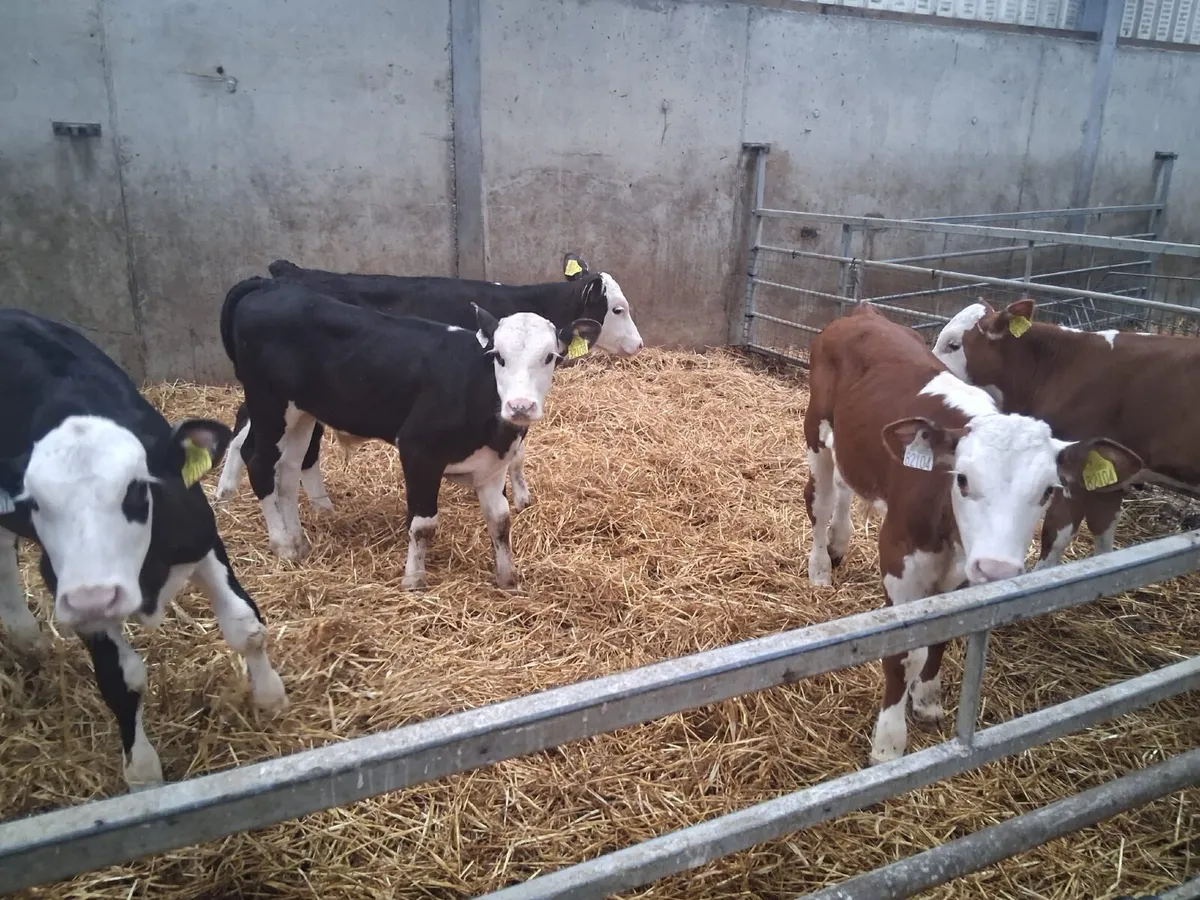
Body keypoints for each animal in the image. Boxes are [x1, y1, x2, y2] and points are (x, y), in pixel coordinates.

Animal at [0, 309, 287, 790]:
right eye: (35, 503)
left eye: (137, 491)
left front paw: (271, 697)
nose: (95, 597)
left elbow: (245, 625)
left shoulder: (203, 536)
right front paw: (143, 771)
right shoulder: (67, 586)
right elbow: (121, 681)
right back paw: (24, 633)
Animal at [220, 277, 600, 589]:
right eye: (498, 356)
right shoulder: (418, 452)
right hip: (268, 404)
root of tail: (268, 287)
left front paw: (507, 579)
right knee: (259, 462)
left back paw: (298, 541)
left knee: (287, 471)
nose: (520, 406)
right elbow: (423, 524)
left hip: (300, 413)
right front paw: (414, 579)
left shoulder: (492, 466)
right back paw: (282, 543)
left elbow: (500, 521)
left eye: (550, 356)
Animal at [804, 303, 1140, 764]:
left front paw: (927, 698)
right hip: (816, 430)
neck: (950, 531)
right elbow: (901, 654)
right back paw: (820, 566)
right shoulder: (899, 559)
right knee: (820, 498)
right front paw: (888, 743)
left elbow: (943, 636)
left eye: (1048, 490)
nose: (997, 569)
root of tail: (862, 313)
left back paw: (840, 541)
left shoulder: (965, 569)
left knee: (844, 484)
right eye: (961, 478)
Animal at [932, 298, 1194, 568]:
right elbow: (1103, 535)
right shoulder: (1111, 478)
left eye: (953, 344)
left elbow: (1054, 536)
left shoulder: (1073, 477)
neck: (1058, 368)